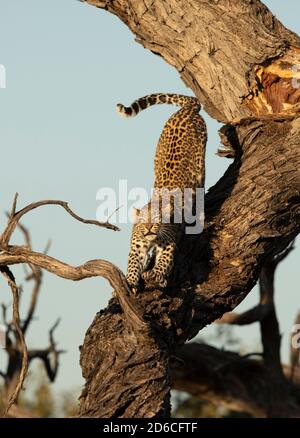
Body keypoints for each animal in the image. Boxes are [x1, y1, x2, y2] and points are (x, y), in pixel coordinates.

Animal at [116, 93, 207, 288]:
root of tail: (187, 109)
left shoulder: (169, 242)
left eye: (158, 218)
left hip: (200, 166)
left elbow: (165, 260)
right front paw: (131, 281)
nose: (149, 227)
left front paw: (156, 274)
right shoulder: (137, 246)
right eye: (143, 220)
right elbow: (132, 263)